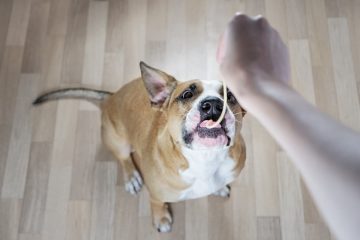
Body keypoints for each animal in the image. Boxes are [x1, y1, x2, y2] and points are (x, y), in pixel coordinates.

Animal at [33, 62, 246, 232]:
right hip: (118, 141)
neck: (205, 158)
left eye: (231, 97)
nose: (213, 105)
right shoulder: (156, 194)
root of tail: (110, 98)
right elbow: (157, 204)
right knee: (124, 159)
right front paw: (161, 219)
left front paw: (219, 188)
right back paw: (131, 178)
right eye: (187, 94)